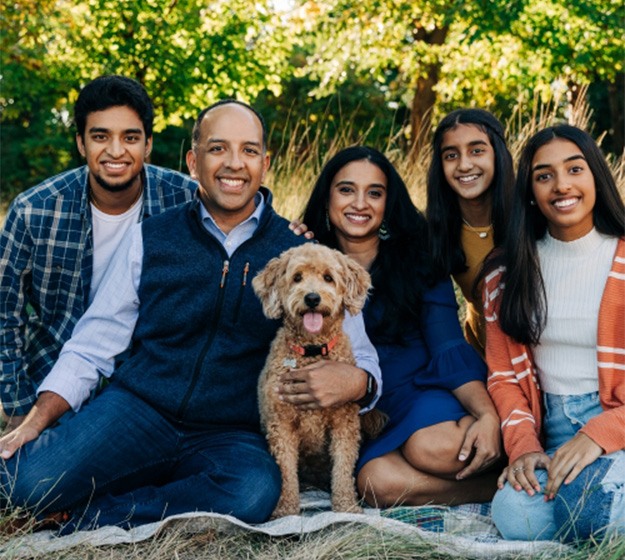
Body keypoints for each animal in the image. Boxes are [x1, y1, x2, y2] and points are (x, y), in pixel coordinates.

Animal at [251, 243, 382, 520]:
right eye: (297, 277)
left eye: (328, 278)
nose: (312, 298)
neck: (312, 350)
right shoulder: (281, 425)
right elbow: (286, 473)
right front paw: (286, 511)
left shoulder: (344, 424)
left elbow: (342, 468)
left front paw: (346, 507)